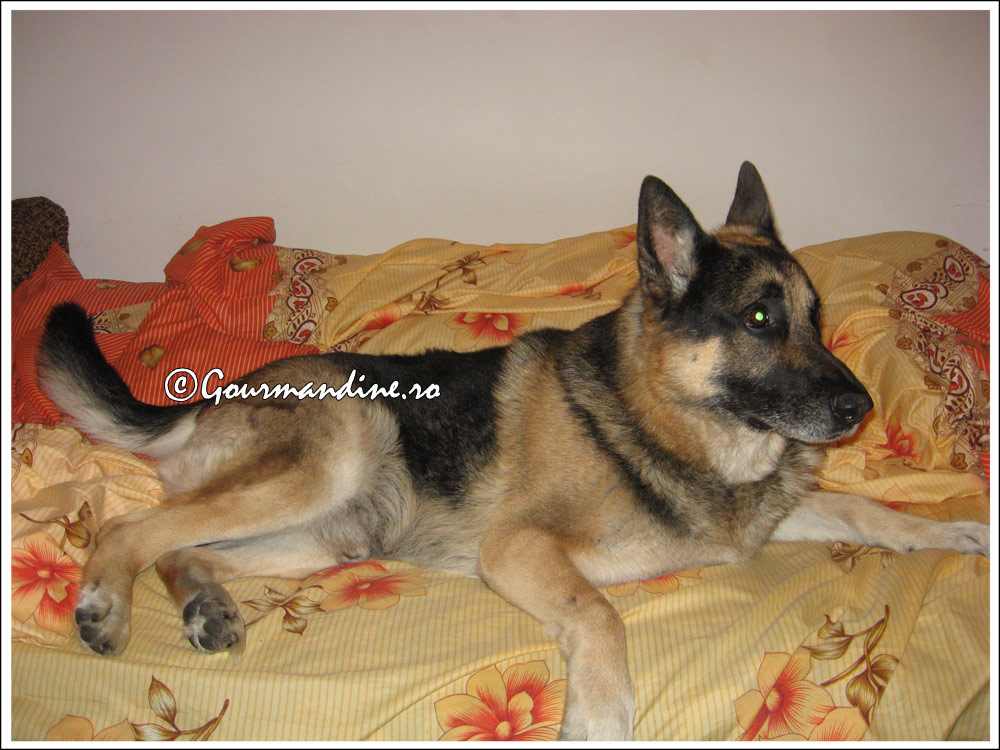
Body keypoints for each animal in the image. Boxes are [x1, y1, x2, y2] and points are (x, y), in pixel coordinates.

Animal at [38, 163, 989, 741]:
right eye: (760, 317)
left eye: (818, 317)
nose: (860, 407)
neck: (664, 416)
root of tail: (209, 397)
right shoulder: (521, 549)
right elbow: (599, 615)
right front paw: (600, 720)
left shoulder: (769, 515)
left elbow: (870, 508)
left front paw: (956, 532)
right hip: (341, 445)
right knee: (127, 531)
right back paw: (105, 605)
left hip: (333, 536)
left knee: (181, 547)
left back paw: (206, 606)